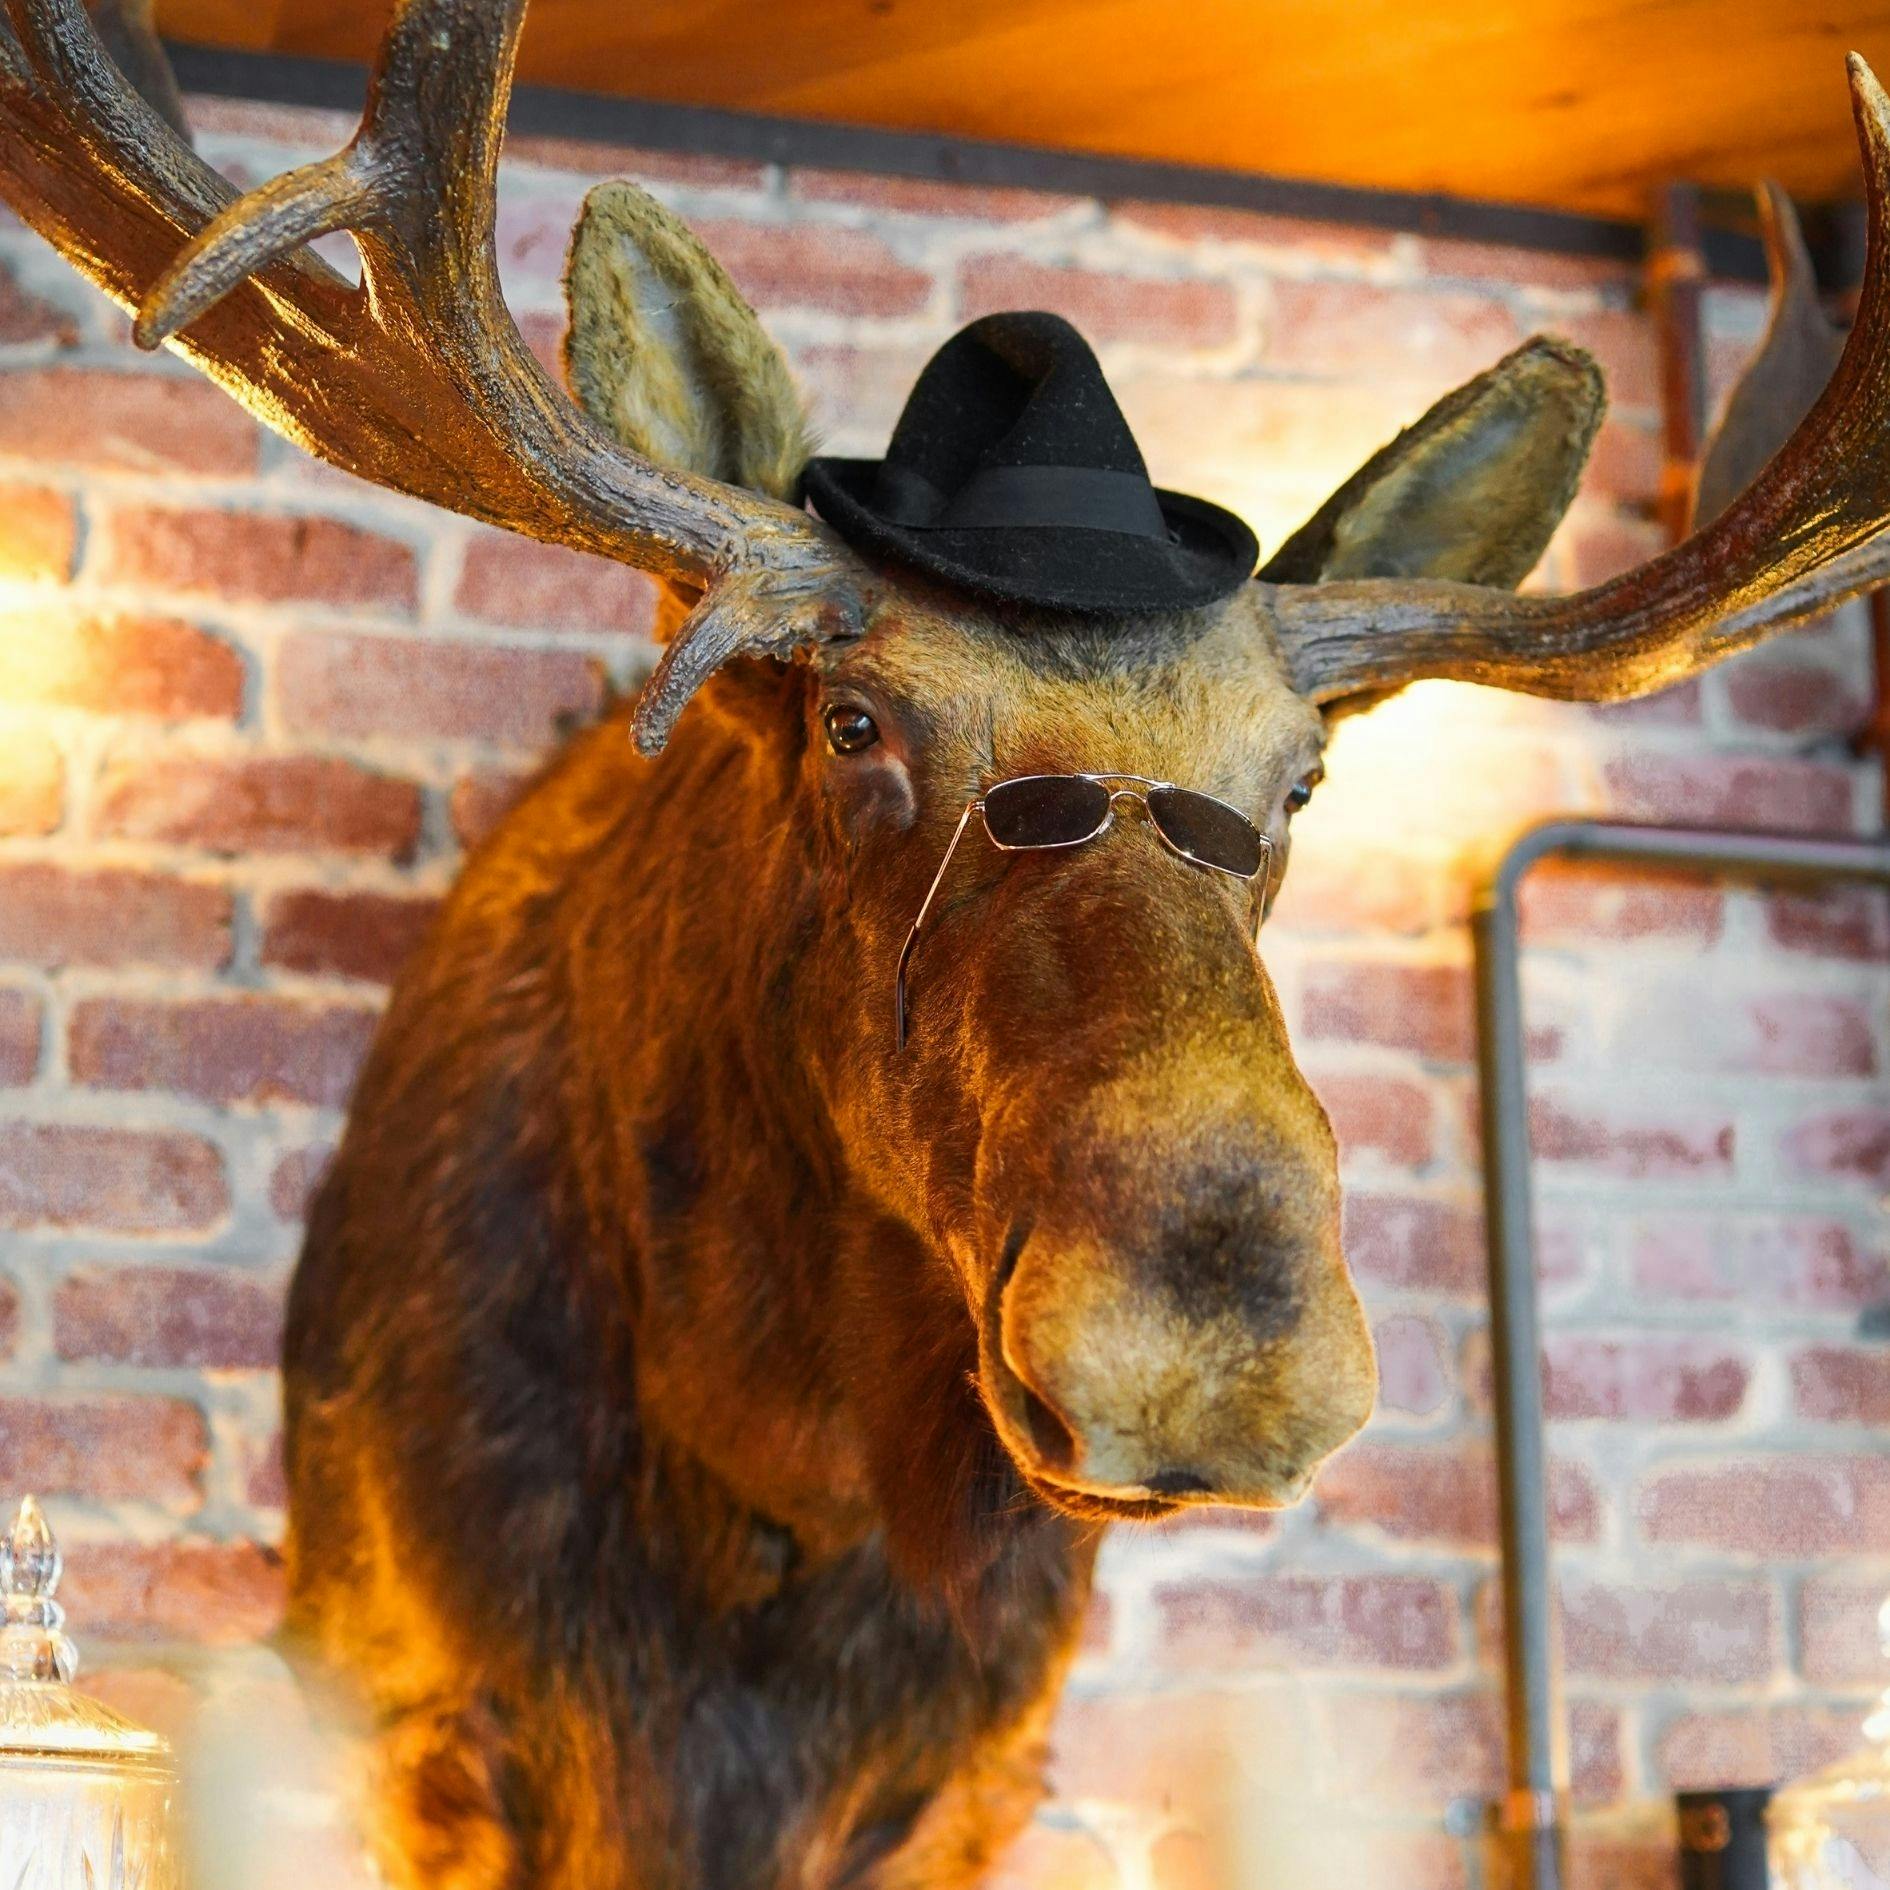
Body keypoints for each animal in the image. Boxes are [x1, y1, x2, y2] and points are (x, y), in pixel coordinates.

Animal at [4, 0, 1890, 1883]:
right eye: (852, 723)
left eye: (1302, 775)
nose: (1207, 1346)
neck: (784, 1474)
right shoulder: (429, 1728)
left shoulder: (985, 1778)